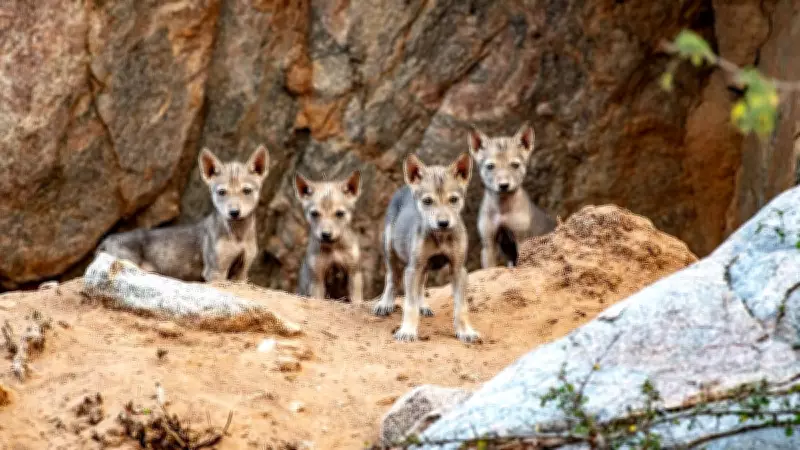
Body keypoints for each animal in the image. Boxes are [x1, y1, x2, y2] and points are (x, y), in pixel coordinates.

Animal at [97, 145, 270, 282]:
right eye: (222, 192)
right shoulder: (215, 271)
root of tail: (108, 239)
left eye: (246, 191)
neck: (238, 235)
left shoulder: (242, 272)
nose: (234, 212)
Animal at [294, 170, 363, 304]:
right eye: (314, 214)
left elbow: (357, 300)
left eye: (340, 214)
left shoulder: (354, 274)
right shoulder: (317, 280)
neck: (334, 248)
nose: (326, 235)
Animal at [372, 153, 480, 343]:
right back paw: (385, 303)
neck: (440, 237)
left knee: (421, 285)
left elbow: (461, 307)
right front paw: (407, 331)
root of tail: (405, 188)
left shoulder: (458, 269)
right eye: (428, 201)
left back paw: (423, 306)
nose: (443, 223)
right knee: (392, 278)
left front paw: (465, 331)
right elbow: (409, 304)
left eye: (453, 199)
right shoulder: (413, 268)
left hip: (424, 266)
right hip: (390, 249)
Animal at [468, 123, 556, 268]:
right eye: (490, 166)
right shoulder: (489, 244)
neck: (502, 209)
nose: (504, 185)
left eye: (515, 165)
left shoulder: (521, 239)